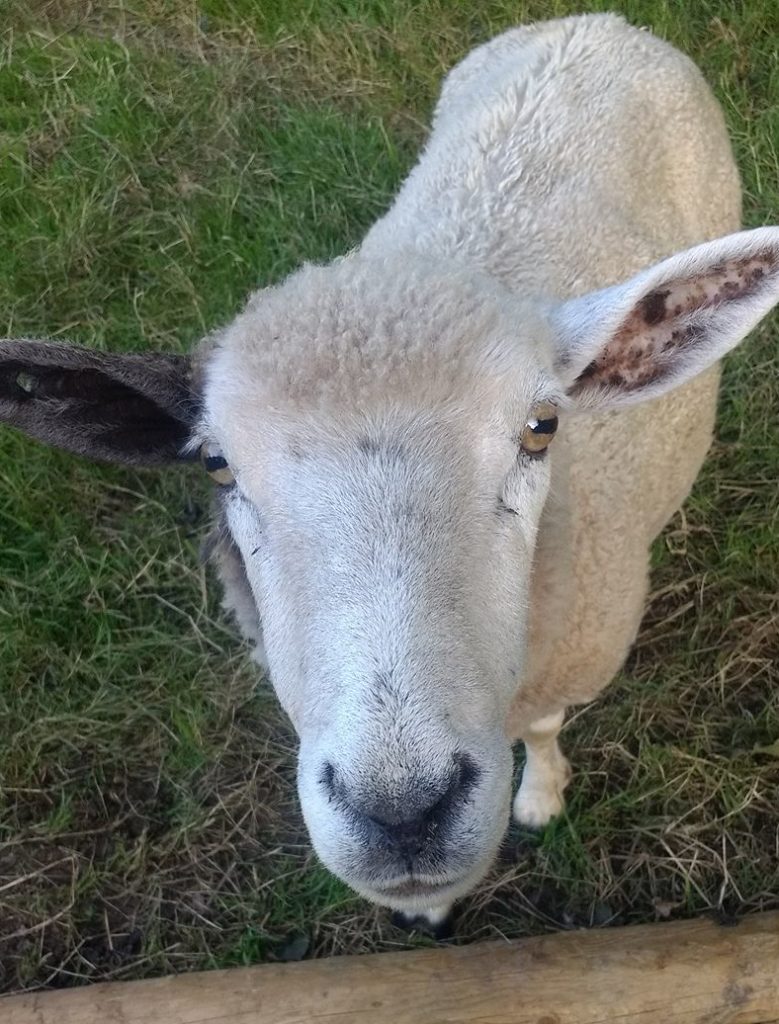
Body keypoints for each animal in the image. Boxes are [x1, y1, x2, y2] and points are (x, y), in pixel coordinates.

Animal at [2, 12, 779, 933]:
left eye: (541, 428)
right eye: (217, 465)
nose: (403, 811)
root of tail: (595, 23)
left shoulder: (577, 652)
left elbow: (544, 729)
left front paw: (540, 798)